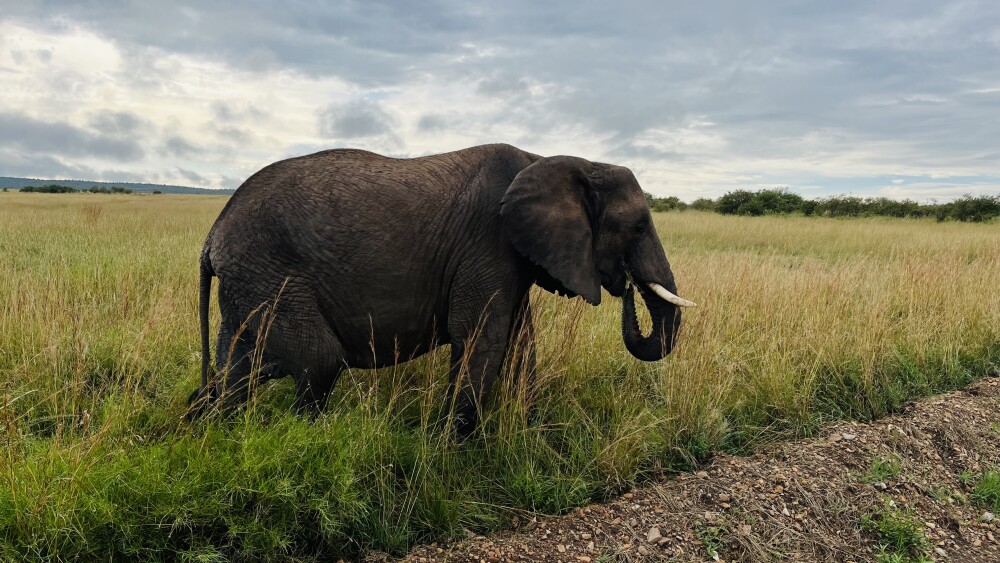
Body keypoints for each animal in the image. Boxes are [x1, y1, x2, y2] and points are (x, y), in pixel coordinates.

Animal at [188, 143, 695, 434]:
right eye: (638, 226)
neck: (558, 160)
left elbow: (520, 344)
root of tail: (211, 237)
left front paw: (526, 433)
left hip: (250, 285)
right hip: (269, 276)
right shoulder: (488, 243)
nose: (626, 286)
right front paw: (452, 448)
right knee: (318, 361)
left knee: (236, 372)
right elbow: (480, 340)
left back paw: (207, 430)